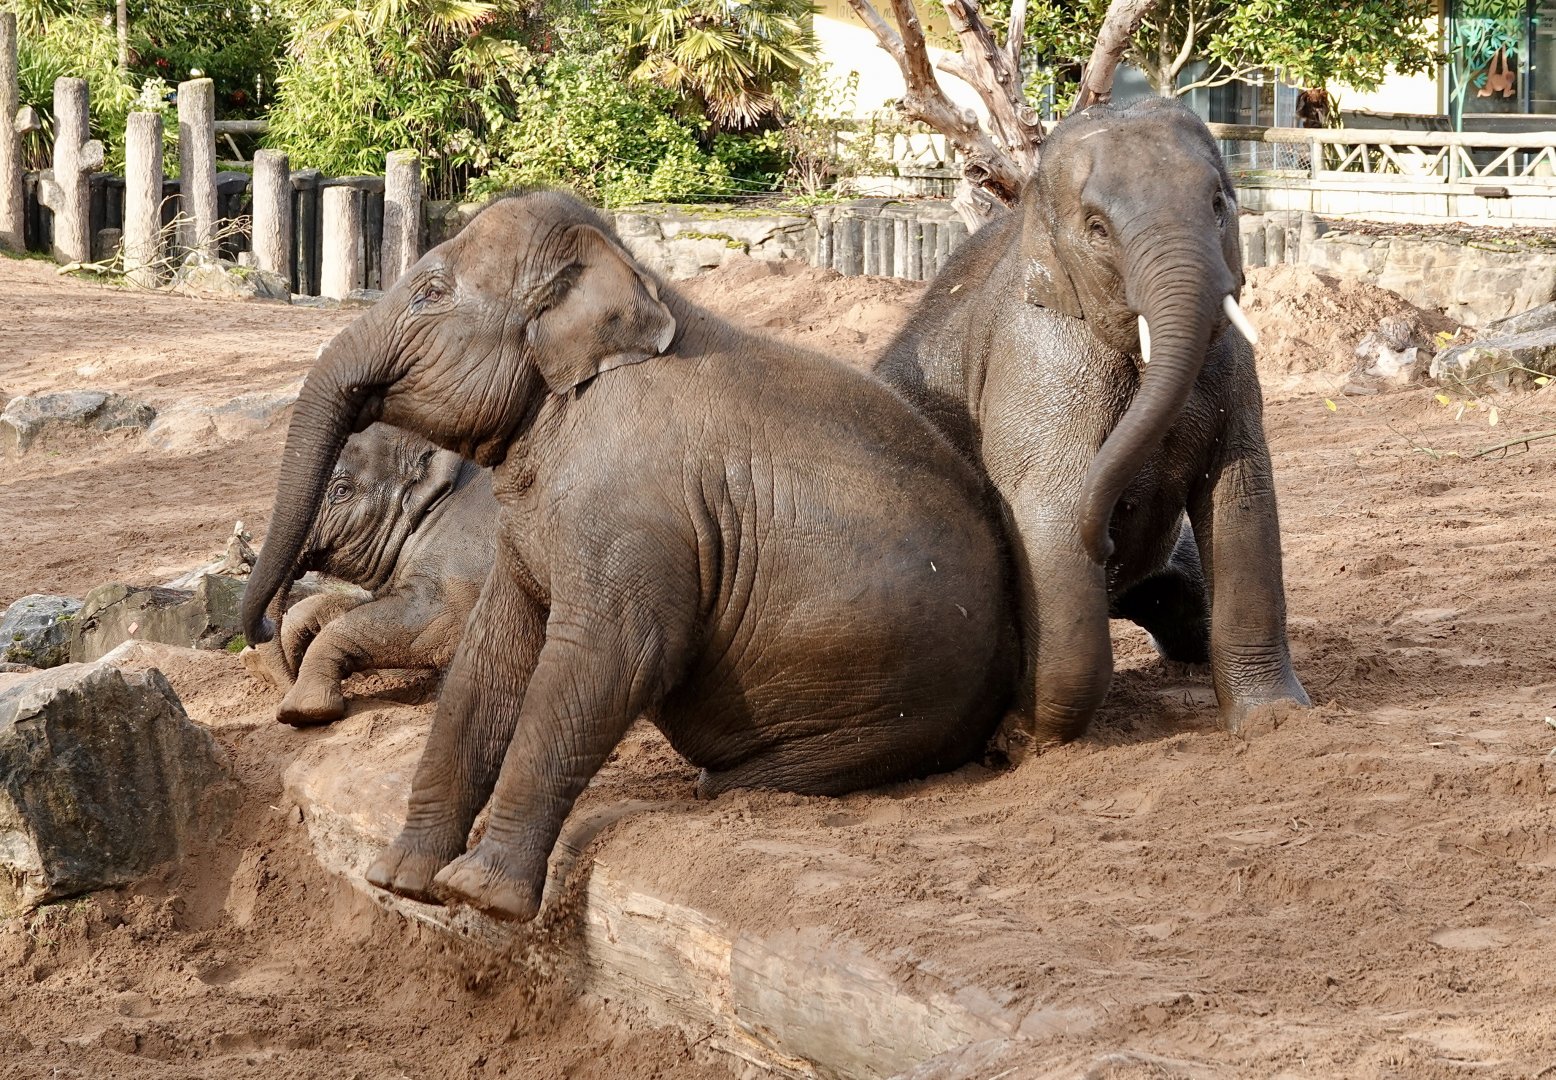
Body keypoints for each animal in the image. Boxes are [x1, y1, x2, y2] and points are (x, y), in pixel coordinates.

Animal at [241, 422, 497, 726]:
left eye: (341, 491)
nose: (287, 684)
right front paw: (257, 665)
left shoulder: (461, 565)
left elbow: (433, 622)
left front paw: (304, 710)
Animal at [876, 97, 1308, 744]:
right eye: (1098, 229)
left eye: (1218, 204)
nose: (1106, 538)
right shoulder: (1038, 353)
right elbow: (1051, 504)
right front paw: (1021, 739)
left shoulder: (1231, 363)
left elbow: (1241, 496)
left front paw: (1277, 719)